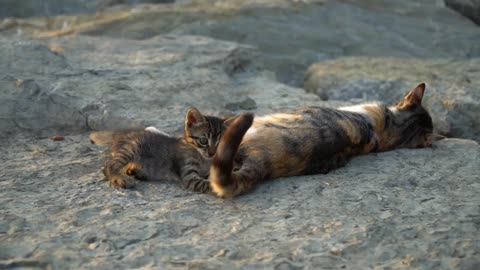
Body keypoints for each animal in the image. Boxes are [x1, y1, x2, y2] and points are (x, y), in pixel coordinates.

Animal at [90, 107, 236, 192]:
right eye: (203, 141)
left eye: (220, 143)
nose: (212, 153)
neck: (203, 159)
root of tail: (121, 134)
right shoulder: (189, 176)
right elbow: (209, 183)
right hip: (131, 149)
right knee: (108, 166)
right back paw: (121, 179)